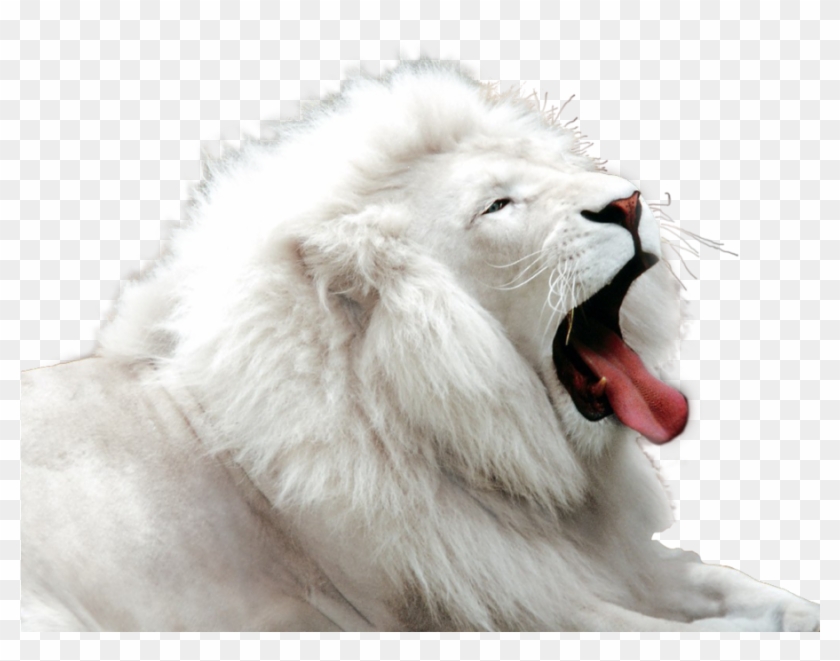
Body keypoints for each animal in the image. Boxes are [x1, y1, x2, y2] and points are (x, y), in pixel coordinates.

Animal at [21, 62, 820, 631]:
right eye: (497, 204)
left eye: (553, 170)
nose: (628, 202)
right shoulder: (506, 607)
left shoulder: (608, 563)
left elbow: (727, 584)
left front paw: (799, 609)